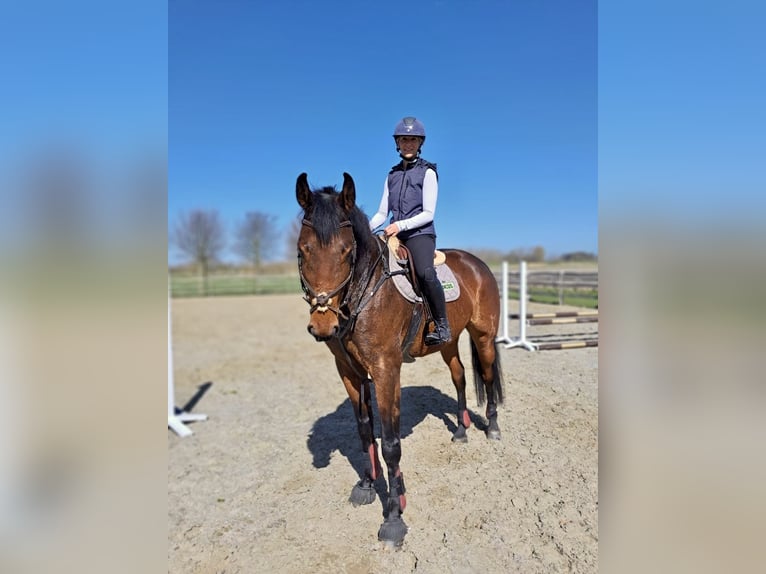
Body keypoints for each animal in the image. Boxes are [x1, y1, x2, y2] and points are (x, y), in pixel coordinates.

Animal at [296, 172, 505, 547]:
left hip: (483, 336)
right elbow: (365, 431)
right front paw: (367, 484)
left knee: (488, 374)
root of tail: (477, 263)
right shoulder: (349, 371)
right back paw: (461, 431)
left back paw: (492, 428)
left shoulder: (385, 369)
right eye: (303, 250)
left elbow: (391, 443)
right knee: (460, 375)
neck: (363, 291)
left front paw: (394, 516)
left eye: (346, 251)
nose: (322, 325)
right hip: (448, 342)